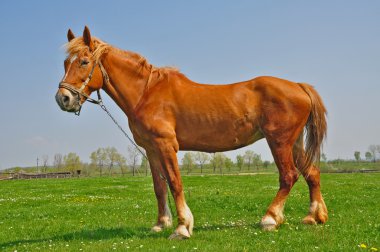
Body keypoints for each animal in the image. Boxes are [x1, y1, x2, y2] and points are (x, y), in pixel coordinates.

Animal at [55, 26, 328, 239]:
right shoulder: (151, 149)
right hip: (294, 142)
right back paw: (314, 217)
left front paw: (182, 227)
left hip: (279, 141)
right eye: (66, 62)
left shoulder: (167, 145)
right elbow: (159, 186)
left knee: (289, 176)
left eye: (84, 62)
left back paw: (270, 219)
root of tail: (299, 86)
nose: (63, 98)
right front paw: (160, 224)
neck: (147, 92)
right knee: (311, 173)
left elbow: (175, 183)